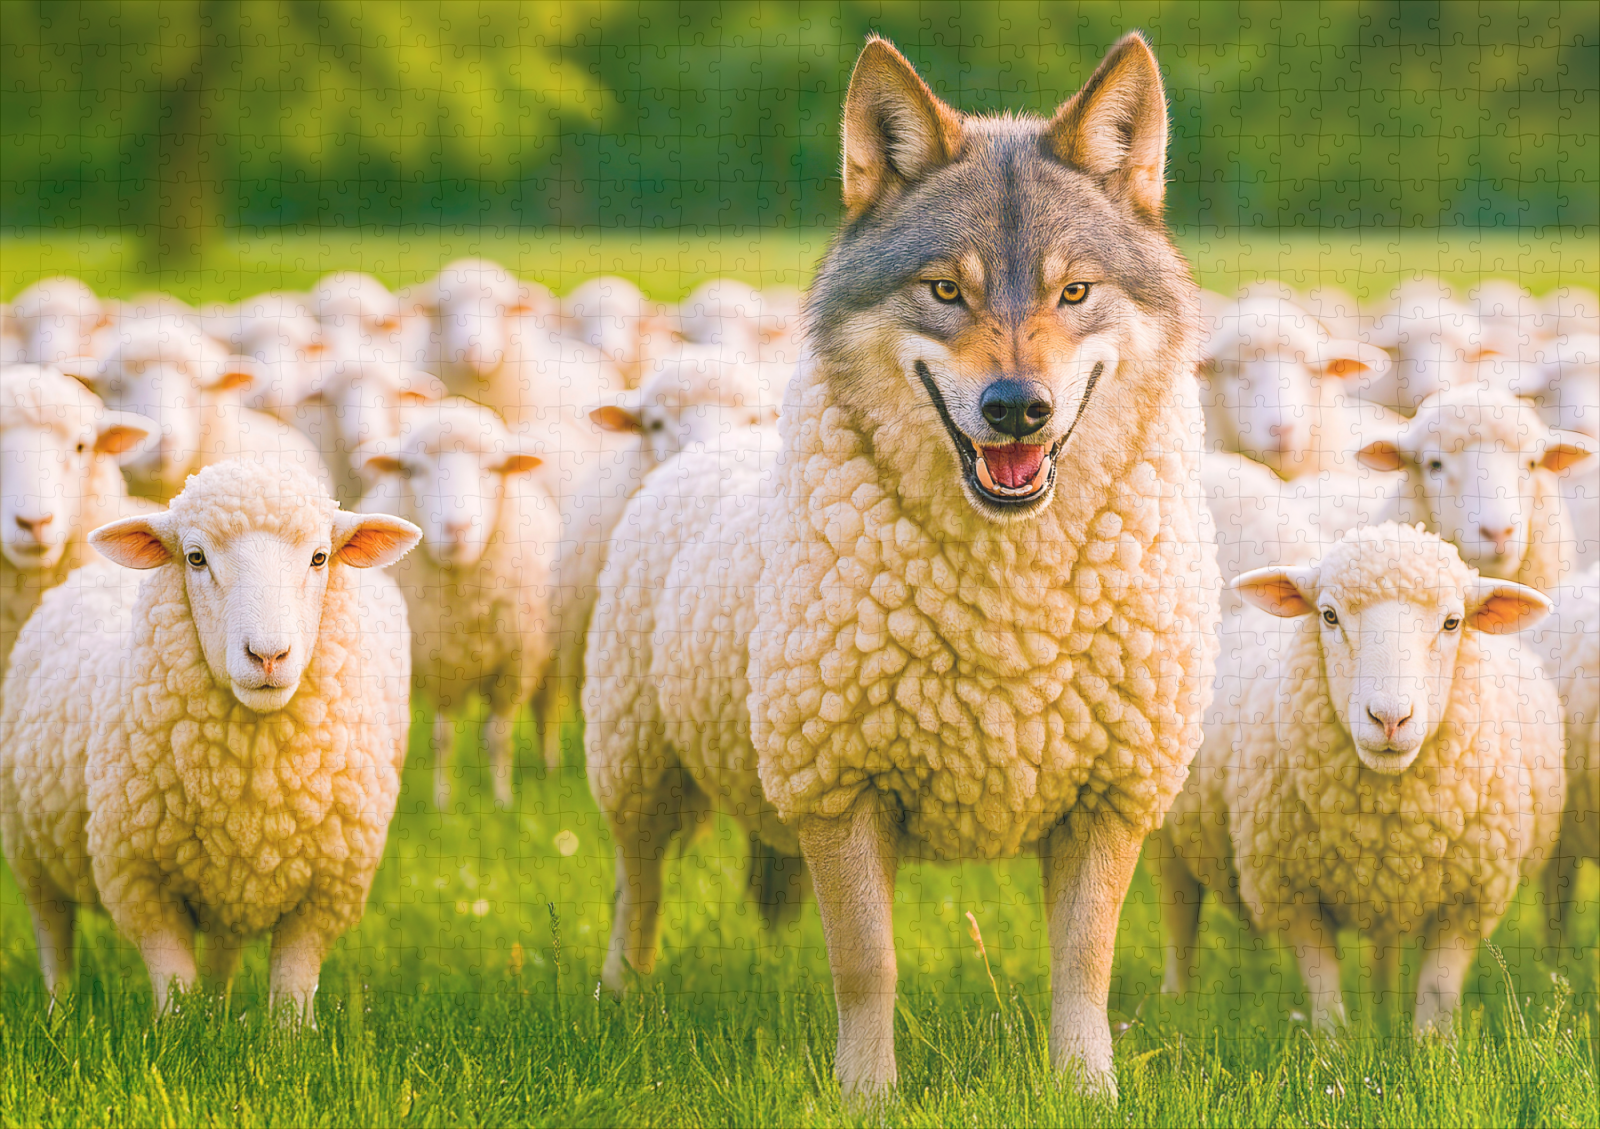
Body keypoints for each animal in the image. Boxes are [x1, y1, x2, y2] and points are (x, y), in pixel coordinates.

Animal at [0, 460, 419, 1015]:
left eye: (320, 557)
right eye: (195, 558)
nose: (268, 656)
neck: (252, 785)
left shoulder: (326, 894)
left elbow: (292, 995)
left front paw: (282, 1037)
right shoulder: (140, 884)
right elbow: (174, 987)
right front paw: (178, 1032)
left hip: (230, 890)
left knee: (222, 955)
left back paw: (218, 1017)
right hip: (28, 849)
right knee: (53, 935)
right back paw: (59, 1013)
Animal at [355, 398, 559, 808]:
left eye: (493, 469)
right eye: (414, 471)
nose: (457, 529)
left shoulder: (515, 668)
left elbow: (498, 738)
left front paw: (502, 802)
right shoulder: (436, 665)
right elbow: (443, 740)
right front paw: (443, 805)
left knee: (546, 713)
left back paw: (550, 769)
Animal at [1158, 524, 1562, 1034]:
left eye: (1452, 623)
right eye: (1329, 616)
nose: (1389, 718)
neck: (1384, 820)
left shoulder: (1470, 900)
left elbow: (1437, 992)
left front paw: (1432, 1047)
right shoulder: (1292, 894)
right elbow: (1325, 993)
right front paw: (1333, 1047)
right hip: (1164, 838)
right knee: (1179, 920)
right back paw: (1177, 1005)